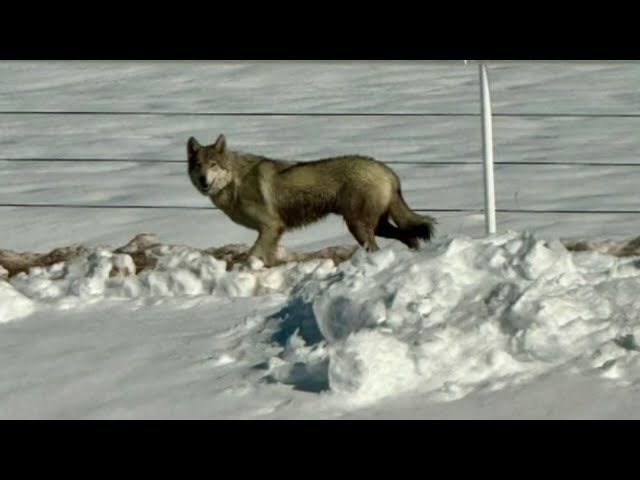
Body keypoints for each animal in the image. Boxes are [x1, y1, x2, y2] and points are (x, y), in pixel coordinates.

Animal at [185, 134, 436, 266]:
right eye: (198, 165)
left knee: (379, 247)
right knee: (410, 237)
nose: (203, 180)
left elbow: (253, 255)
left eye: (213, 165)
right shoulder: (271, 232)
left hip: (359, 226)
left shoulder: (271, 226)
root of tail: (387, 170)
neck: (236, 181)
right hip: (377, 226)